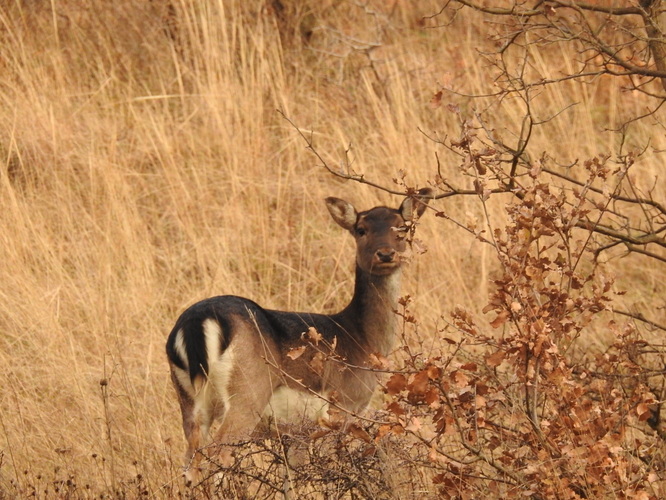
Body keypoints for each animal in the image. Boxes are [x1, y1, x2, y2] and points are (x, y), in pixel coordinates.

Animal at [165, 188, 430, 480]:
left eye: (402, 228)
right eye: (361, 229)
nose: (385, 254)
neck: (361, 338)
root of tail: (195, 323)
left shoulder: (295, 431)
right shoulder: (341, 407)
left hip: (188, 399)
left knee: (189, 463)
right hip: (247, 394)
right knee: (217, 453)